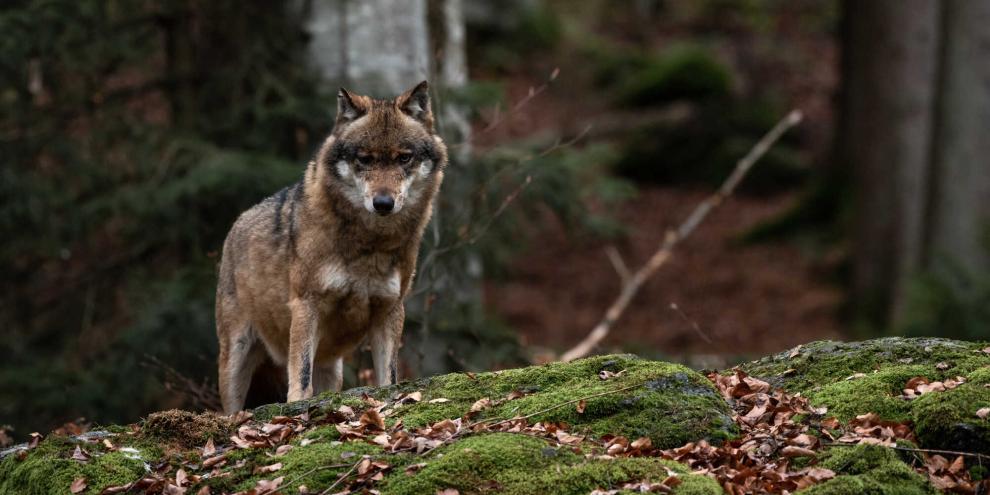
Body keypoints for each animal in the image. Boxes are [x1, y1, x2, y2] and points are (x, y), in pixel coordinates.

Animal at [215, 81, 446, 414]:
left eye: (404, 158)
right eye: (364, 159)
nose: (383, 203)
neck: (369, 244)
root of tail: (237, 223)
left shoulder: (390, 309)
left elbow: (388, 377)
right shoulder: (306, 304)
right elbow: (300, 375)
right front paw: (297, 406)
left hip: (331, 367)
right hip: (236, 357)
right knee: (232, 409)